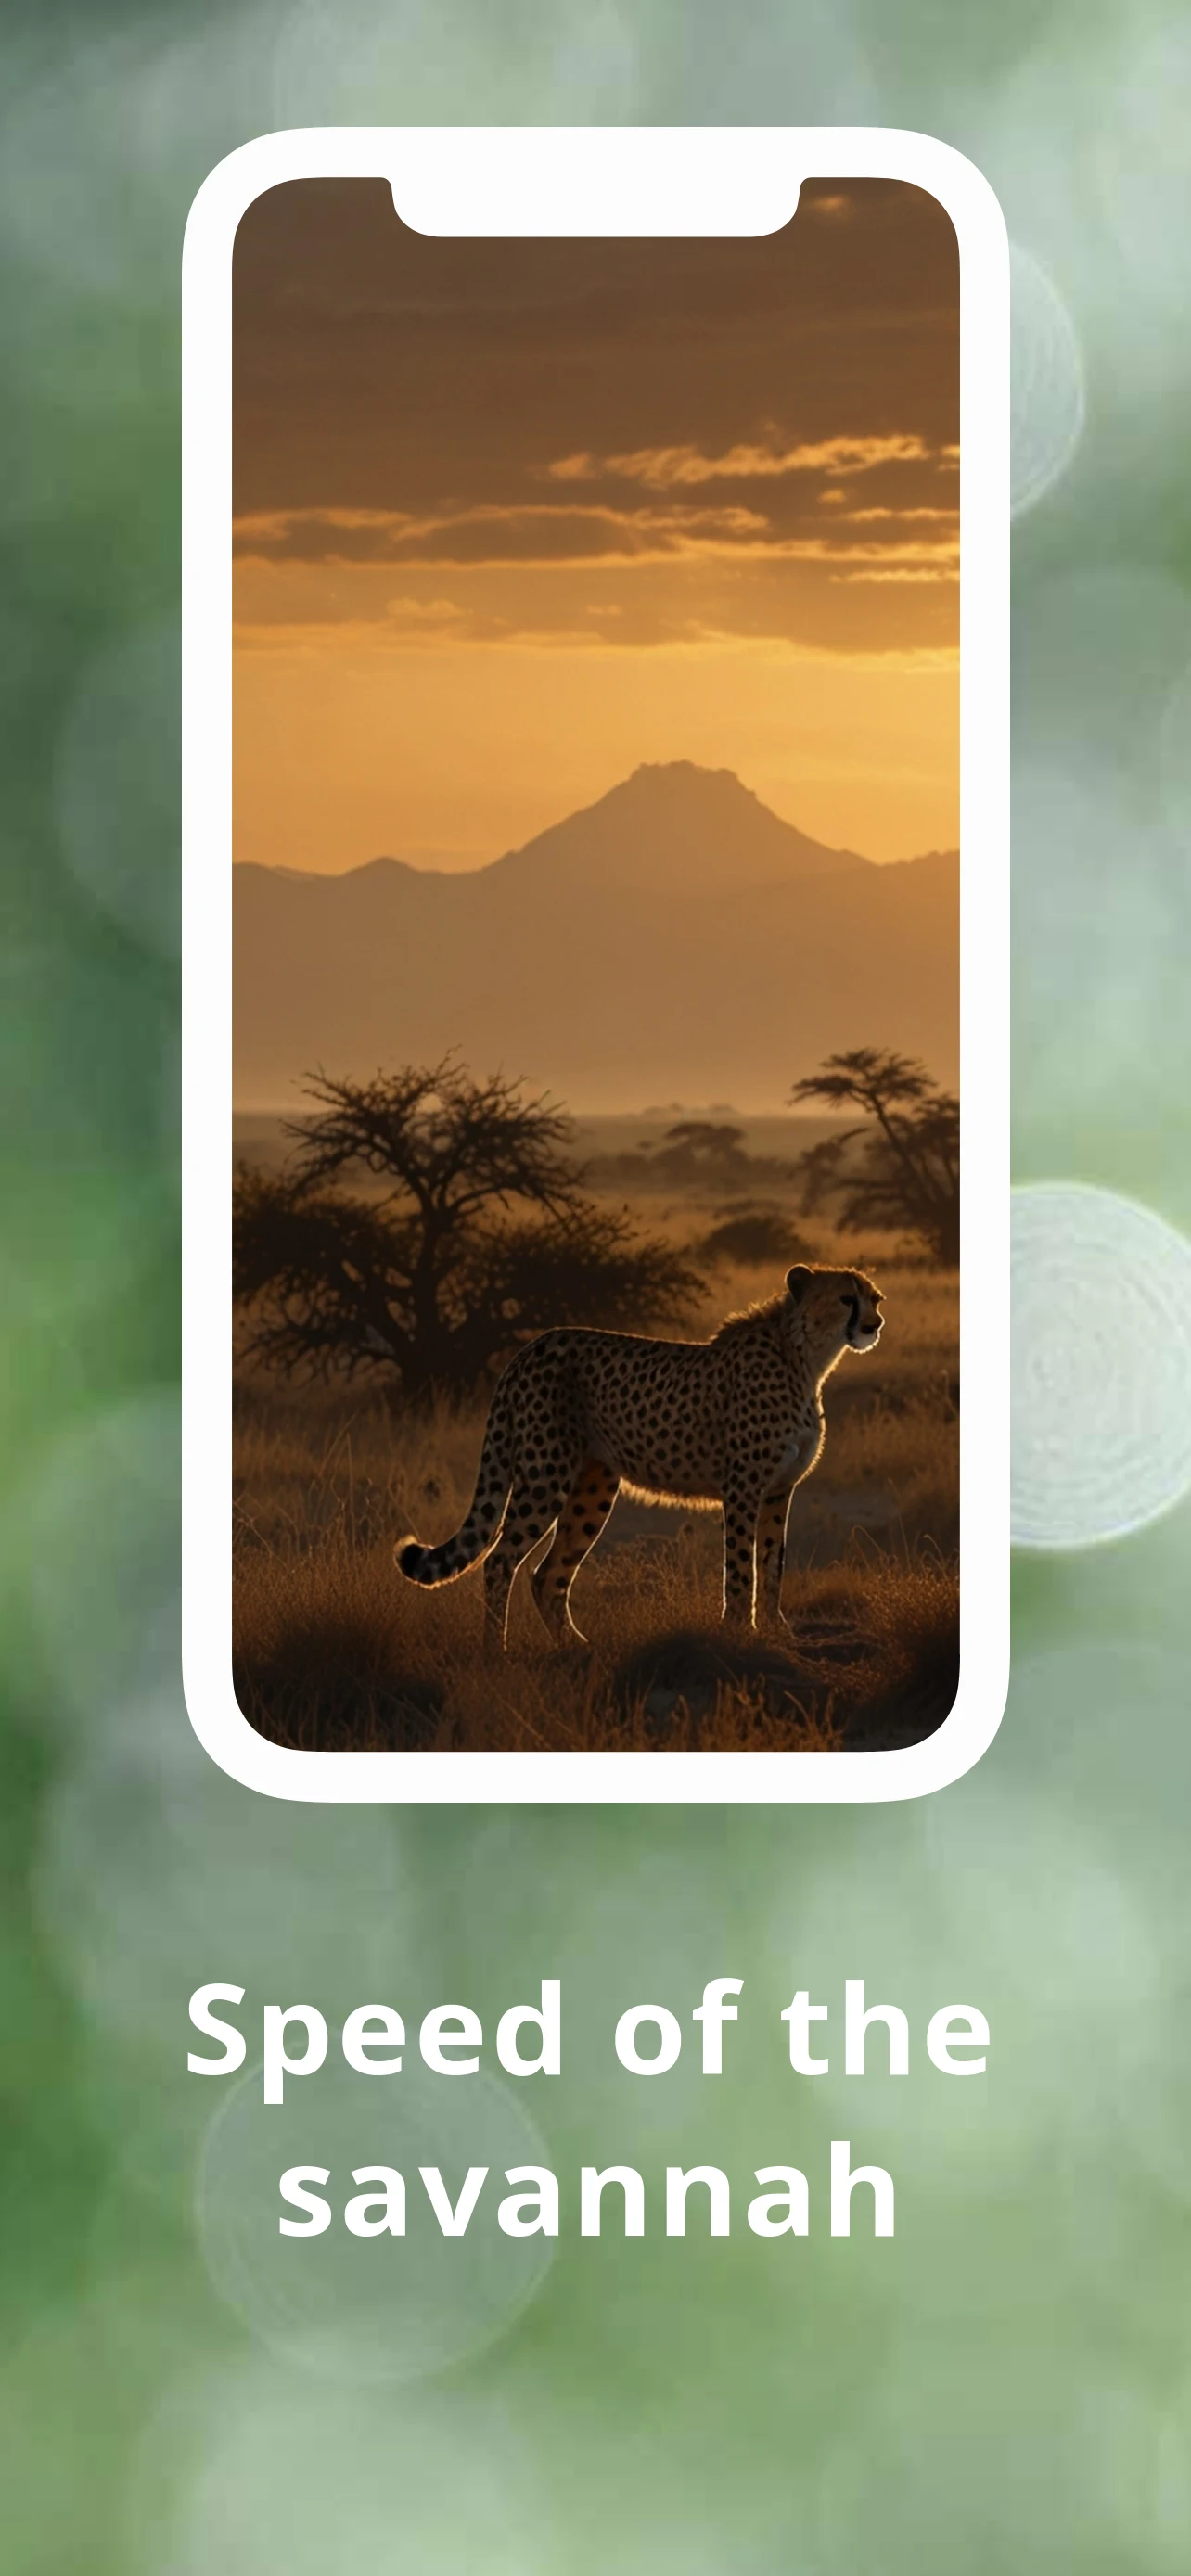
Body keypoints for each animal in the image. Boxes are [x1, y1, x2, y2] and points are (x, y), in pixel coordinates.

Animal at [395, 1261, 883, 1649]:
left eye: (874, 1298)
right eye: (846, 1299)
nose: (875, 1323)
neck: (806, 1357)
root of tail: (531, 1346)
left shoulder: (779, 1490)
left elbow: (772, 1563)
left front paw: (775, 1629)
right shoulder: (743, 1489)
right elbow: (742, 1566)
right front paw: (739, 1632)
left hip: (592, 1488)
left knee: (548, 1574)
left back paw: (576, 1647)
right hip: (544, 1477)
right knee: (500, 1561)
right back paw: (495, 1650)